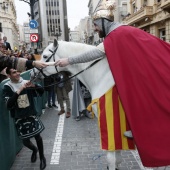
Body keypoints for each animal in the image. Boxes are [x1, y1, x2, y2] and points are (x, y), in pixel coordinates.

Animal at [30, 39, 126, 169]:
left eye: (44, 56)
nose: (32, 73)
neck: (103, 76)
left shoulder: (110, 123)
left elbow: (111, 158)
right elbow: (118, 158)